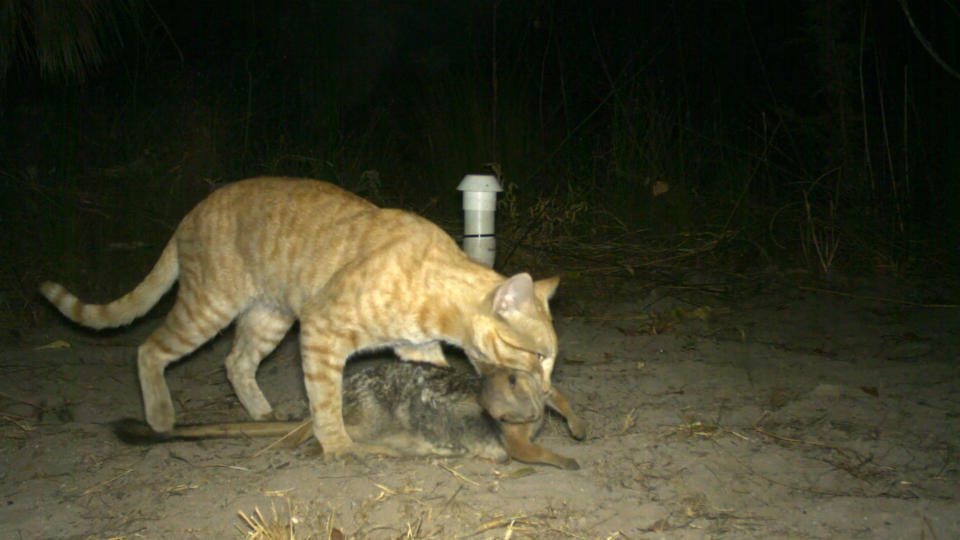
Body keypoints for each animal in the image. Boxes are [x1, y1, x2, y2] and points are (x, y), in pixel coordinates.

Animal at [41, 179, 560, 458]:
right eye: (537, 356)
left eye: (551, 360)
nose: (547, 387)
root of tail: (192, 210)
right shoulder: (321, 331)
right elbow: (325, 400)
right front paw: (338, 446)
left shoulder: (415, 346)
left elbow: (434, 376)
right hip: (207, 309)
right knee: (148, 349)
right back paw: (160, 416)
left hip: (268, 317)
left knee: (235, 362)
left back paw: (260, 411)